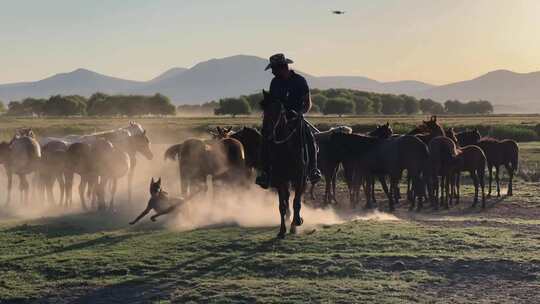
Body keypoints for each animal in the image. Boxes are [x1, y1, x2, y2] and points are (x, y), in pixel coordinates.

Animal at [260, 89, 306, 238]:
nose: (266, 132)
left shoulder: (299, 178)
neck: (285, 149)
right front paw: (282, 230)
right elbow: (282, 205)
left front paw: (297, 222)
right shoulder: (280, 179)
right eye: (263, 109)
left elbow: (296, 202)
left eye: (278, 110)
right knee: (286, 198)